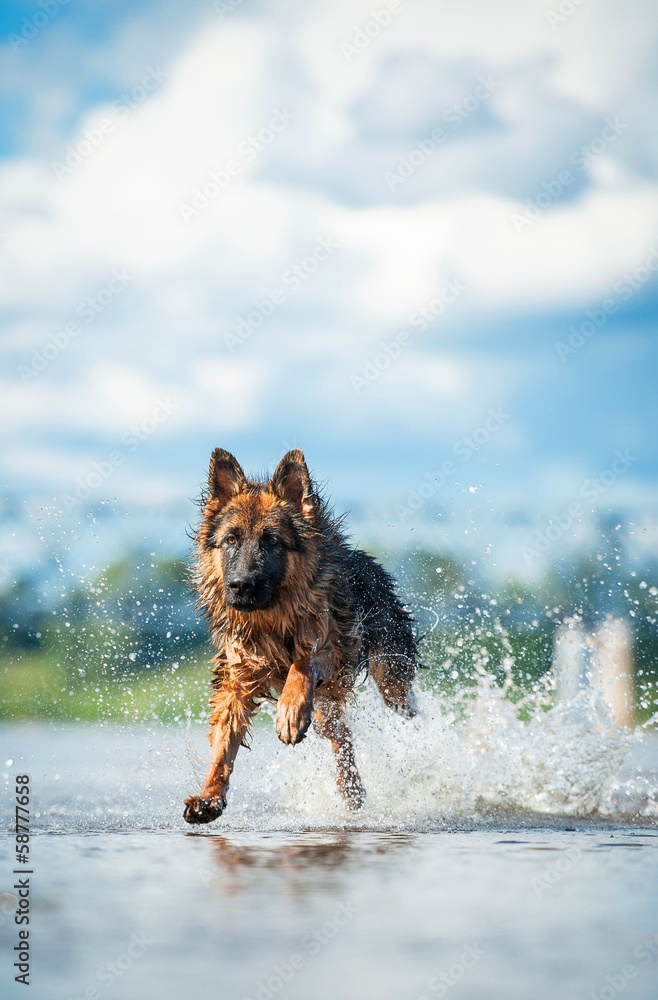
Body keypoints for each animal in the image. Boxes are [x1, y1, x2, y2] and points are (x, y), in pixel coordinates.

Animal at [183, 450, 420, 824]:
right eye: (231, 540)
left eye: (272, 541)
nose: (240, 586)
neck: (272, 620)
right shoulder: (236, 677)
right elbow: (223, 742)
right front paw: (209, 797)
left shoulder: (332, 649)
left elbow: (302, 664)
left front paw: (290, 710)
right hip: (327, 711)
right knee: (341, 740)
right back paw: (352, 793)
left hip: (388, 680)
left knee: (397, 700)